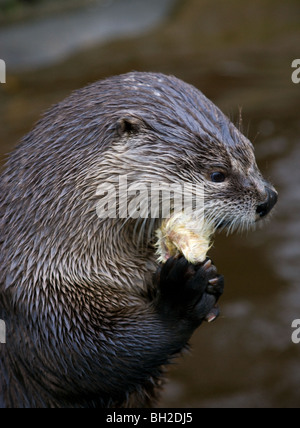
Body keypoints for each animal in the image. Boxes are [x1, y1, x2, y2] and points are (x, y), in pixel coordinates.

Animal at [0, 72, 278, 408]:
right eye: (217, 174)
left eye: (251, 154)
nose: (268, 199)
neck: (47, 254)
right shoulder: (45, 312)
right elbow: (88, 361)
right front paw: (180, 297)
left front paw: (210, 281)